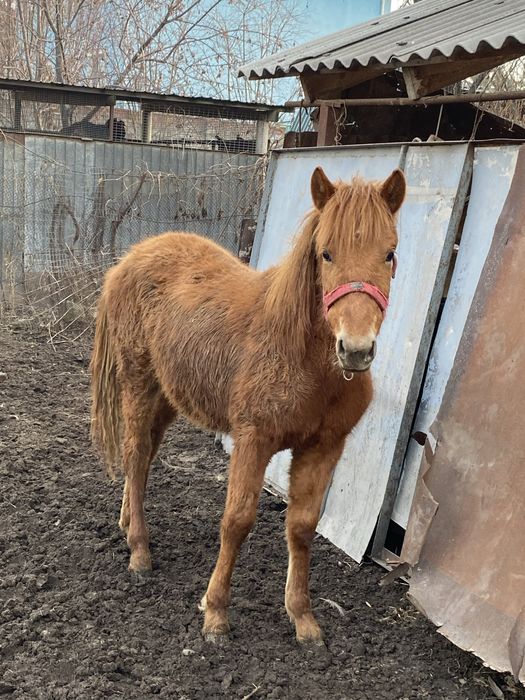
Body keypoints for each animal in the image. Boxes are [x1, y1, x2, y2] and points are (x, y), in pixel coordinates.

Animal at [90, 165, 406, 644]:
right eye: (326, 253)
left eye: (389, 254)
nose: (355, 350)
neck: (303, 357)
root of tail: (128, 260)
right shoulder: (253, 440)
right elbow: (237, 521)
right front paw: (215, 612)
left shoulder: (323, 447)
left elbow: (302, 527)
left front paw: (302, 617)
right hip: (138, 385)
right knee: (136, 452)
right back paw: (140, 552)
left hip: (167, 396)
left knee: (140, 460)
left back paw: (128, 525)